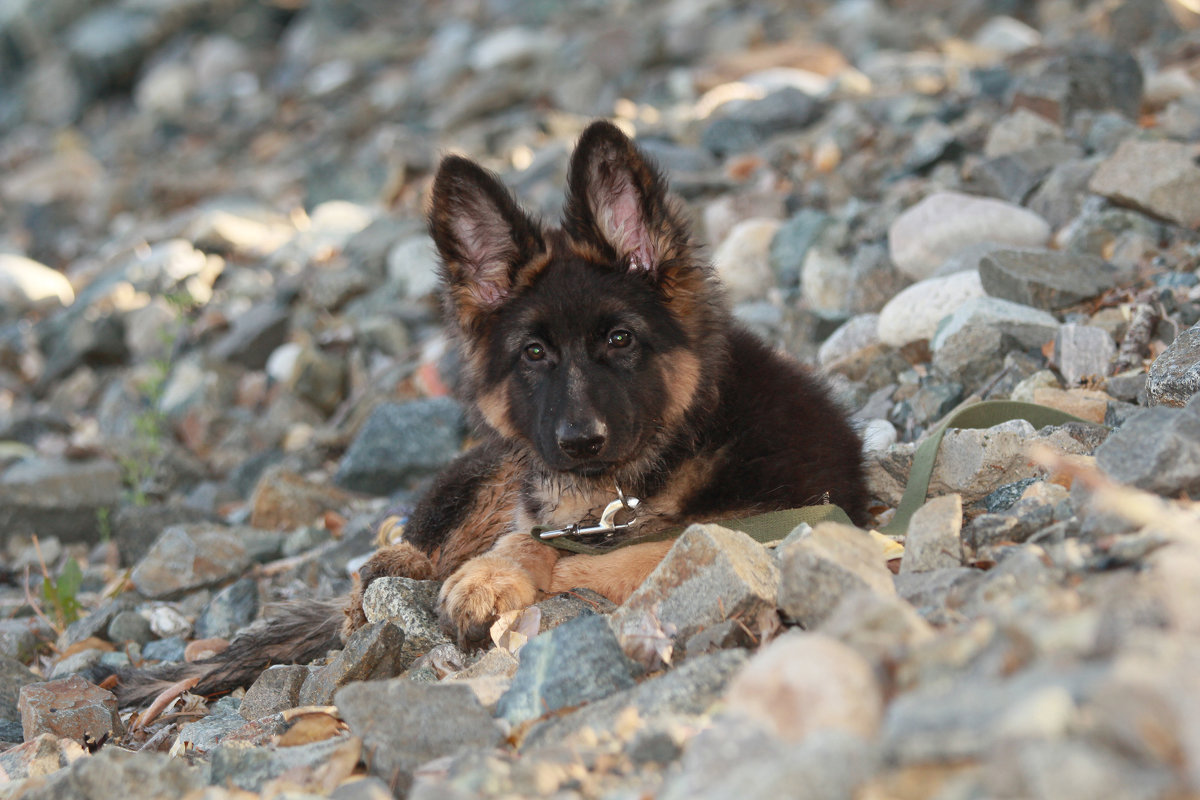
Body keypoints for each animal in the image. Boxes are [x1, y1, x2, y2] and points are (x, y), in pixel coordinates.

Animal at [110, 120, 864, 705]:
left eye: (621, 340)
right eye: (534, 353)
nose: (580, 442)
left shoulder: (761, 524)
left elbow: (624, 553)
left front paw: (505, 578)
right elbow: (523, 540)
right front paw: (487, 573)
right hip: (487, 476)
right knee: (398, 557)